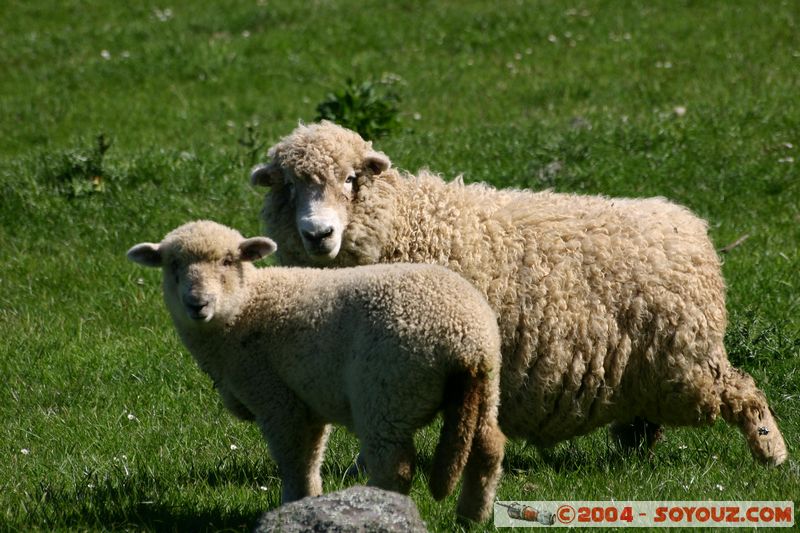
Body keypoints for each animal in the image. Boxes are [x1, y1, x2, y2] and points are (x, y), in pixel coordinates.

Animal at [129, 219, 510, 520]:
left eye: (227, 260)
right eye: (172, 264)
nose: (197, 304)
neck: (244, 308)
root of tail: (466, 341)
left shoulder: (276, 397)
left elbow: (294, 460)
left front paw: (293, 505)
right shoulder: (309, 399)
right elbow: (312, 457)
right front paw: (308, 501)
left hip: (386, 392)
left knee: (394, 465)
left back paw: (379, 506)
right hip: (486, 388)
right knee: (488, 448)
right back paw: (471, 517)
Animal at [250, 120, 788, 466]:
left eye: (350, 179)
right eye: (290, 186)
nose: (318, 234)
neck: (407, 224)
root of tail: (691, 227)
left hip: (686, 363)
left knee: (743, 390)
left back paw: (772, 452)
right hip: (653, 369)